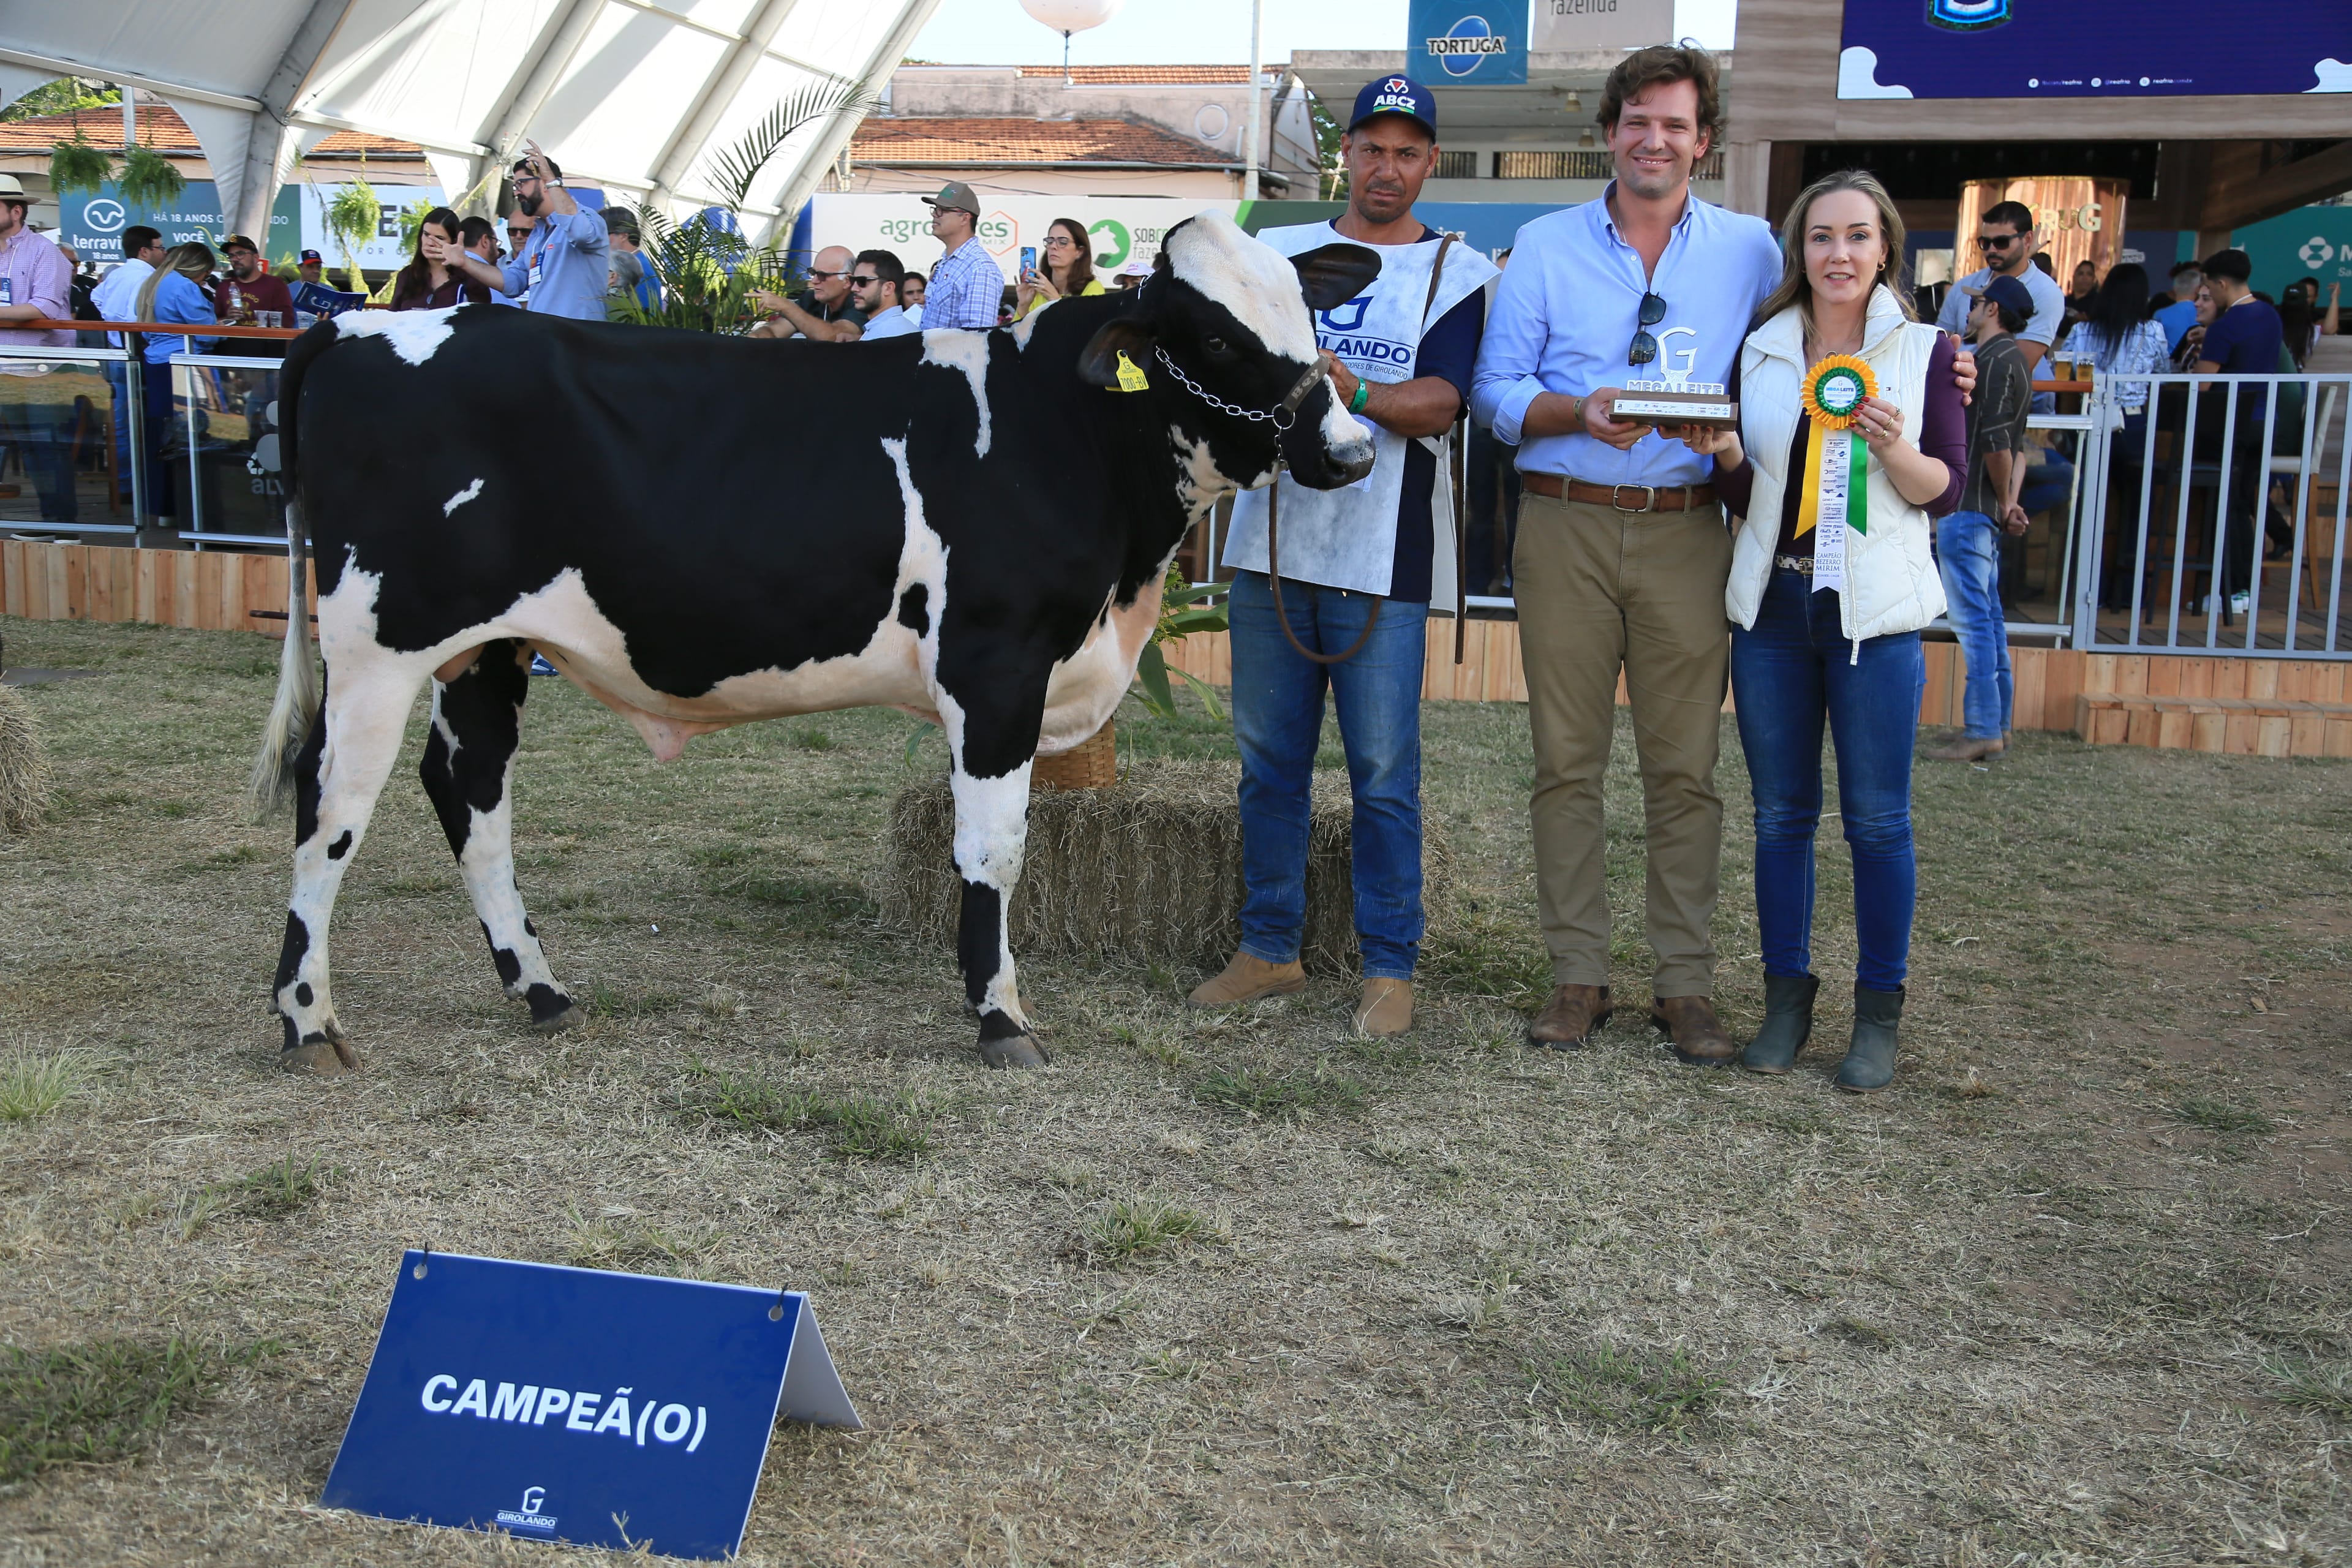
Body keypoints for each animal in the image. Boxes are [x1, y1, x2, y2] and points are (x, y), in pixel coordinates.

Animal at [250, 211, 1373, 1081]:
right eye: (1215, 340)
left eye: (1308, 311)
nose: (1352, 450)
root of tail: (358, 322)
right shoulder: (995, 663)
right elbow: (994, 849)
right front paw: (1001, 1018)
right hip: (377, 650)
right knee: (330, 803)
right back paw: (307, 1021)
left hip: (481, 651)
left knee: (469, 793)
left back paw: (541, 991)